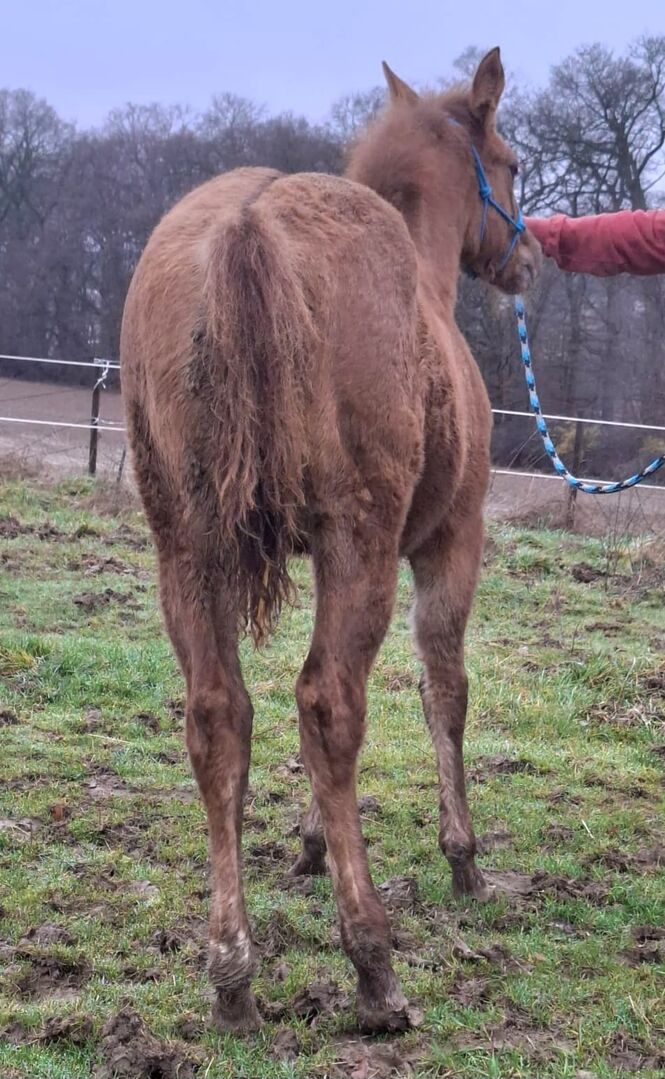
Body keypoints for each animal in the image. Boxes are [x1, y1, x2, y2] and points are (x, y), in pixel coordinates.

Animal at [120, 47, 540, 1034]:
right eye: (510, 163)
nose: (531, 256)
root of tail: (245, 227)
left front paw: (311, 842)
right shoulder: (446, 542)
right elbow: (442, 690)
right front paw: (462, 856)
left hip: (187, 547)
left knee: (218, 715)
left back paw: (232, 975)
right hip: (360, 540)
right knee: (329, 704)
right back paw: (373, 965)